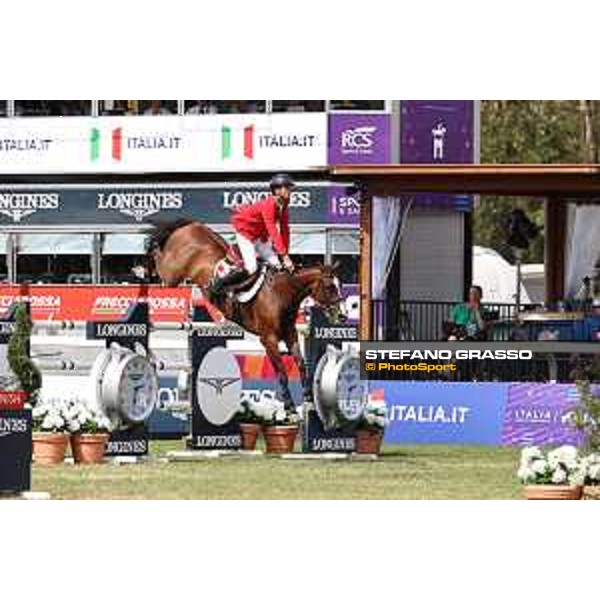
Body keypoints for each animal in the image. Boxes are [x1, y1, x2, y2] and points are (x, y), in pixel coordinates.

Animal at [145, 220, 342, 412]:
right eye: (330, 287)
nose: (341, 316)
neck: (282, 293)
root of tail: (189, 226)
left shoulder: (290, 334)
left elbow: (301, 365)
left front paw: (308, 397)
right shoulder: (269, 339)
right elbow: (281, 371)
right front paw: (289, 406)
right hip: (172, 275)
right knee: (161, 264)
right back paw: (151, 251)